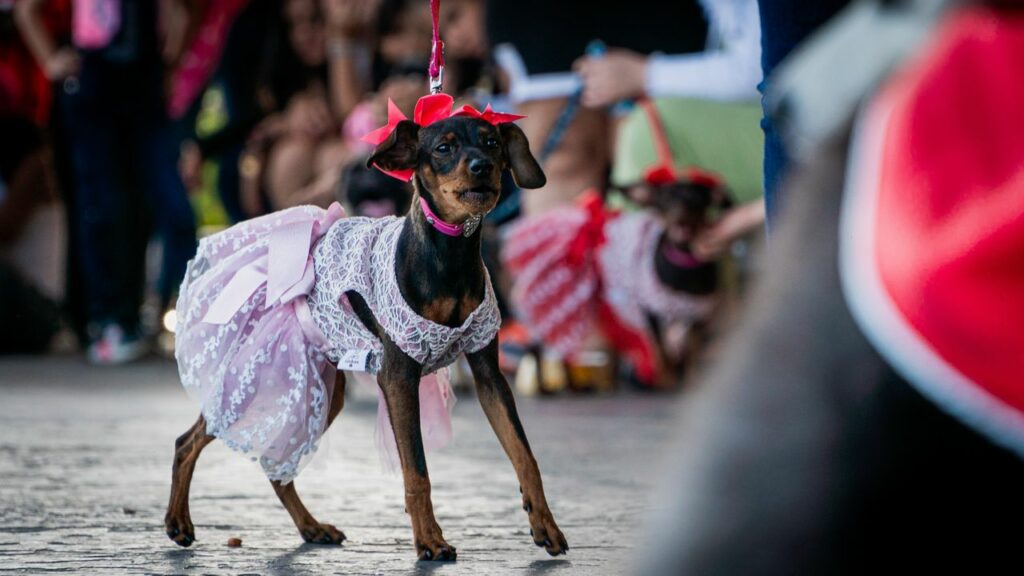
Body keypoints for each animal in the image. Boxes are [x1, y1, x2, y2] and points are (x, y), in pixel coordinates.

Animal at [165, 104, 568, 561]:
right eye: (443, 148)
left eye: (492, 142)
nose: (482, 167)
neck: (448, 255)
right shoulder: (398, 376)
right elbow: (417, 470)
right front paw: (429, 540)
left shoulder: (489, 374)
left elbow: (524, 455)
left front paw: (545, 526)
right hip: (251, 383)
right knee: (187, 443)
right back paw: (178, 522)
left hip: (323, 393)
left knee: (278, 465)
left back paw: (312, 527)